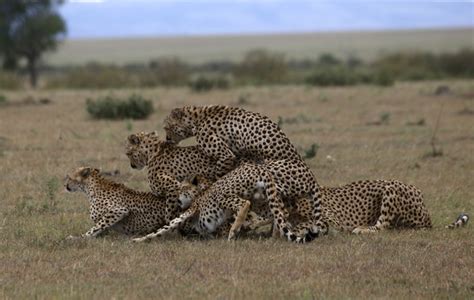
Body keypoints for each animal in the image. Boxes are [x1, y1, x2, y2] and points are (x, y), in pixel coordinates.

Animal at [164, 105, 326, 241]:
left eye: (167, 127)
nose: (167, 139)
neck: (197, 118)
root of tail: (312, 178)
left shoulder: (226, 155)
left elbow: (218, 177)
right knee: (284, 209)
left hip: (266, 171)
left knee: (280, 208)